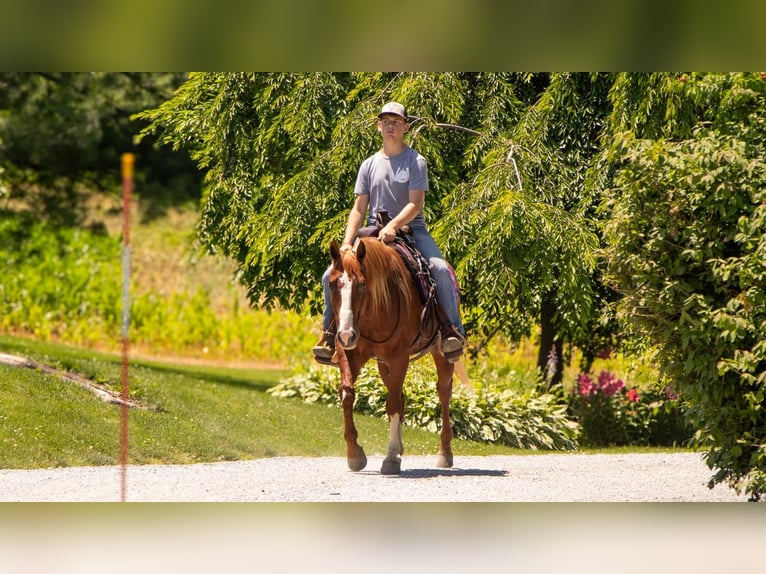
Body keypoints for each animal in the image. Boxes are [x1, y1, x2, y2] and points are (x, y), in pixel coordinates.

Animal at [326, 236, 456, 474]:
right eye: (331, 284)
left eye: (362, 284)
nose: (347, 334)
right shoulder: (349, 352)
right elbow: (347, 394)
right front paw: (354, 454)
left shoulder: (399, 357)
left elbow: (393, 403)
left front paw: (391, 457)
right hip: (383, 364)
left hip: (440, 353)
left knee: (443, 393)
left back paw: (444, 453)